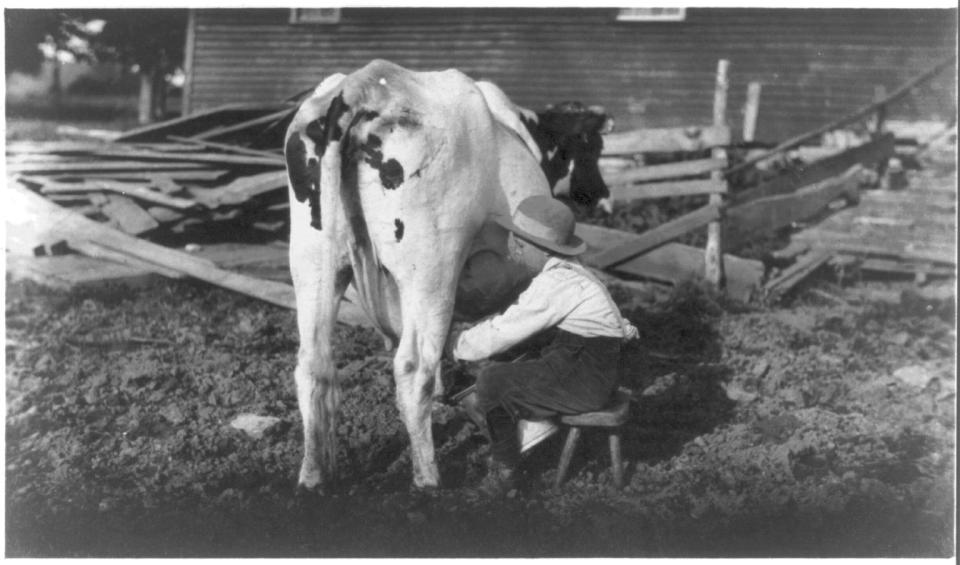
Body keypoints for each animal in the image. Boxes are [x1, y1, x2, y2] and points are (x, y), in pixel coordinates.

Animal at [284, 58, 608, 490]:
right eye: (592, 146)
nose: (603, 195)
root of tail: (363, 84)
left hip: (313, 262)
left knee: (313, 365)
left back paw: (313, 475)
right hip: (431, 268)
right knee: (412, 366)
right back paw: (428, 478)